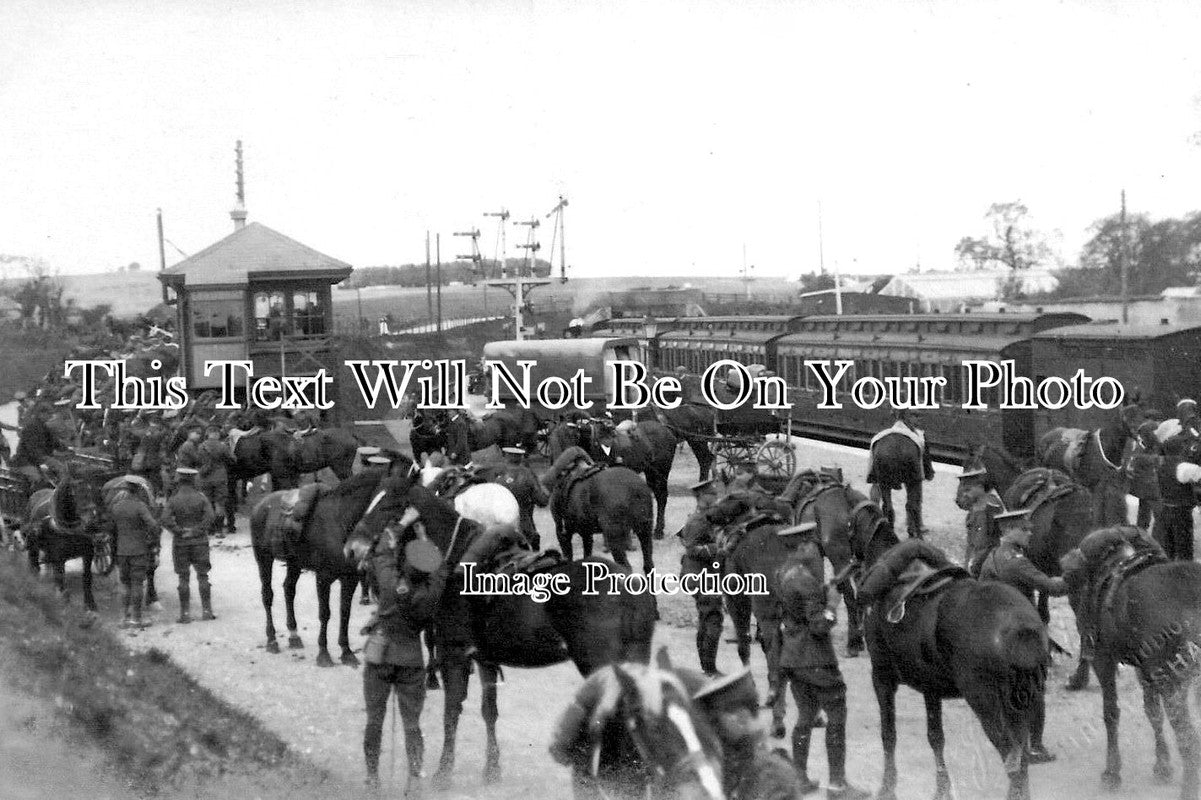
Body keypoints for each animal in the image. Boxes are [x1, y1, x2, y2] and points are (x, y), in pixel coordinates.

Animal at [23, 461, 112, 610]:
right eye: (73, 492)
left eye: (95, 489)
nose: (93, 522)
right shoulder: (59, 558)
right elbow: (61, 579)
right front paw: (63, 604)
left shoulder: (88, 553)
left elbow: (87, 577)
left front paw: (90, 604)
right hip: (32, 545)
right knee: (35, 564)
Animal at [247, 463, 398, 663]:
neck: (339, 520)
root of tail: (260, 506)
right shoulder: (323, 577)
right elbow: (325, 613)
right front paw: (324, 653)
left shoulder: (350, 578)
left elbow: (345, 613)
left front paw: (346, 651)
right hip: (263, 559)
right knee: (267, 595)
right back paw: (272, 640)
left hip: (294, 563)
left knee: (289, 590)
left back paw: (294, 635)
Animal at [343, 485, 658, 783]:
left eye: (387, 506)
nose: (351, 549)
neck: (457, 564)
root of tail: (630, 588)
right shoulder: (485, 658)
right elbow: (489, 711)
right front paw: (492, 769)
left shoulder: (454, 654)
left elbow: (451, 712)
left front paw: (443, 773)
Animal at [845, 504, 1052, 797]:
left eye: (848, 526)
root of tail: (1021, 626)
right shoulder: (930, 687)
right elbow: (935, 737)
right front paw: (942, 788)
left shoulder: (882, 676)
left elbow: (888, 734)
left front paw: (888, 786)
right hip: (1022, 702)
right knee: (1021, 759)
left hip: (986, 702)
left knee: (1011, 756)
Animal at [1061, 523, 1201, 797]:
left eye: (1072, 578)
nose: (1081, 621)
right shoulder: (1145, 668)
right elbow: (1152, 711)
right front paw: (1162, 767)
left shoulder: (1103, 659)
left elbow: (1111, 713)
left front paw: (1111, 773)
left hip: (1174, 681)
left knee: (1188, 739)